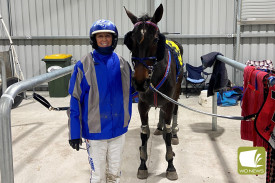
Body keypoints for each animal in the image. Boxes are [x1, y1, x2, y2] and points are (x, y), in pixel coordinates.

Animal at [124, 3, 183, 180]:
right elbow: (144, 133)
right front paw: (142, 165)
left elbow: (168, 133)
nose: (139, 82)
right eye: (131, 41)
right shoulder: (142, 104)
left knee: (174, 112)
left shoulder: (169, 101)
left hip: (177, 93)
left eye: (156, 40)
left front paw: (171, 166)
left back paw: (173, 133)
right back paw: (159, 126)